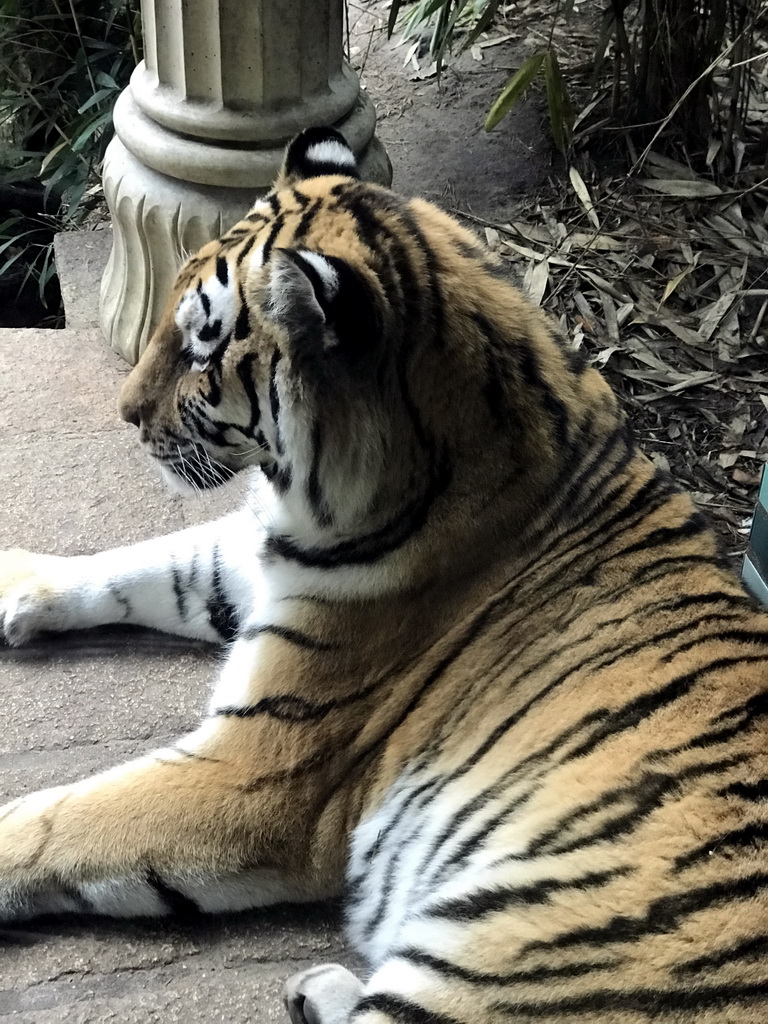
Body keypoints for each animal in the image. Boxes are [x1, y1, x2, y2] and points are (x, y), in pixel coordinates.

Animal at [1, 130, 768, 1024]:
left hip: (513, 955)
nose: (125, 414)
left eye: (201, 345)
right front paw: (17, 582)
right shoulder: (256, 556)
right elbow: (145, 562)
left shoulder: (257, 771)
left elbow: (58, 821)